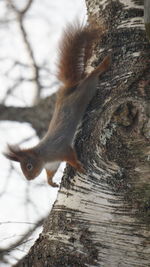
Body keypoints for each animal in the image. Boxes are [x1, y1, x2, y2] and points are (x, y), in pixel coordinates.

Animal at [4, 20, 110, 186]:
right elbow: (50, 173)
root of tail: (69, 89)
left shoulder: (61, 150)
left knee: (91, 77)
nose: (28, 179)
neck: (44, 157)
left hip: (87, 90)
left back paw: (103, 66)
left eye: (29, 166)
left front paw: (78, 167)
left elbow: (71, 157)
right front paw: (51, 182)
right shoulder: (53, 164)